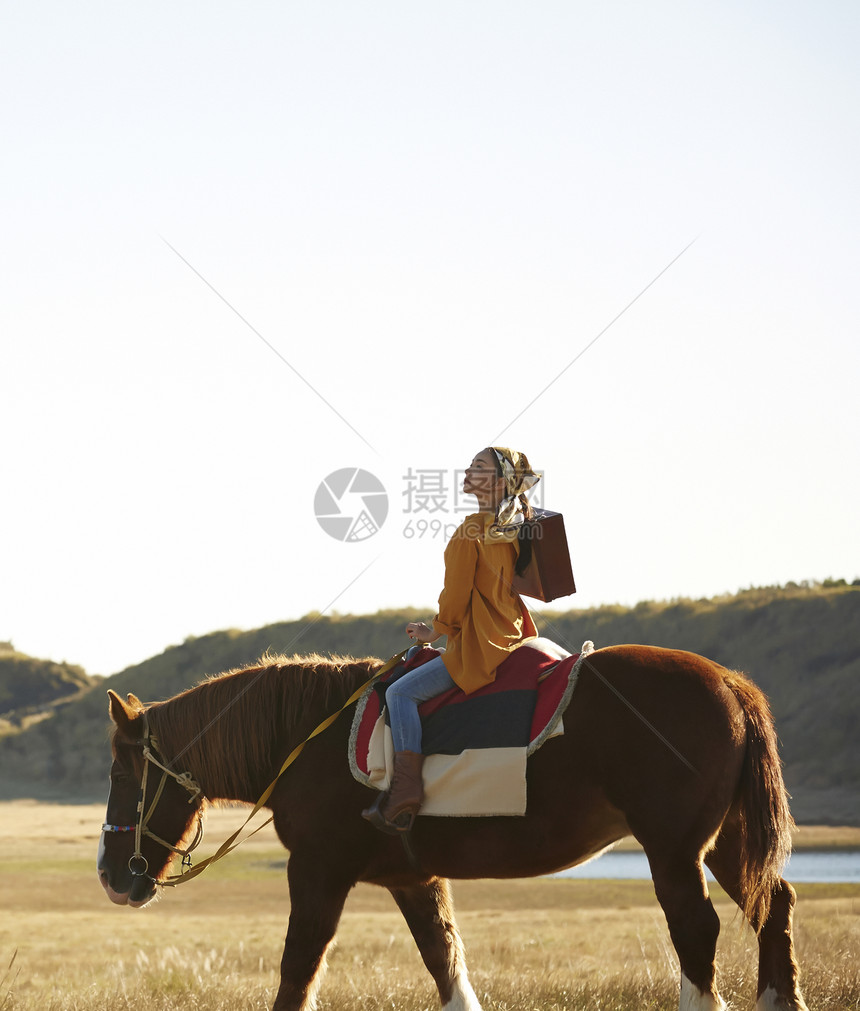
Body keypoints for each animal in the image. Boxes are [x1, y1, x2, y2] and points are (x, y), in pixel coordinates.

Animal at [97, 647, 812, 1011]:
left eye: (122, 773)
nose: (110, 877)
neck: (307, 739)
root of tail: (731, 683)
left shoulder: (319, 871)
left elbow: (298, 969)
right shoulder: (414, 879)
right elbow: (445, 961)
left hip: (672, 850)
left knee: (698, 929)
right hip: (724, 844)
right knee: (773, 904)